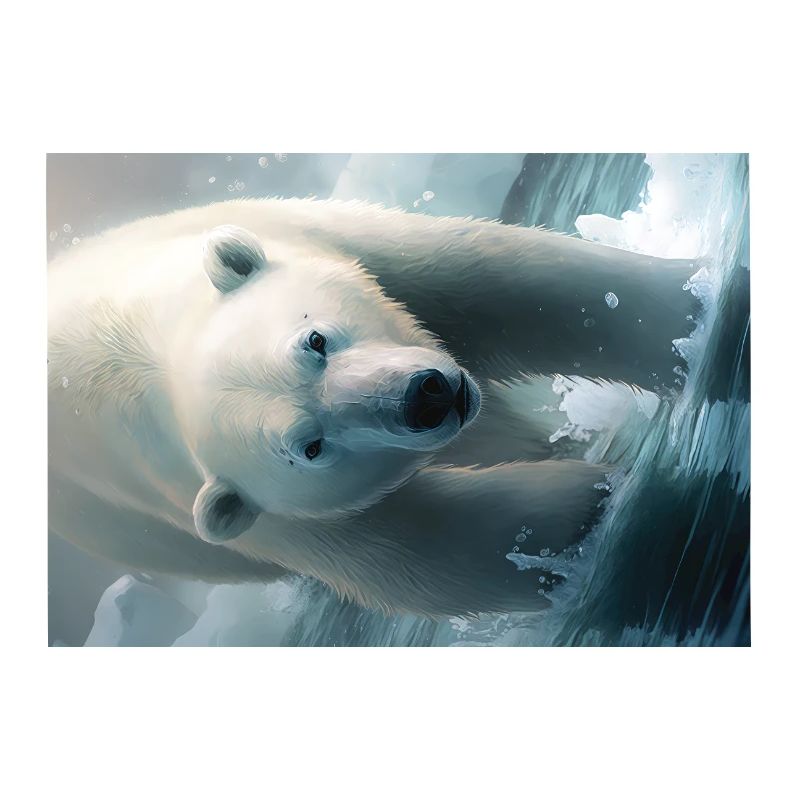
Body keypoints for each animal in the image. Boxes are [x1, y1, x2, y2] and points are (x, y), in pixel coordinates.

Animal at [48, 198, 698, 617]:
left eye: (314, 341)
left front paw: (689, 308)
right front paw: (592, 506)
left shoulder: (309, 235)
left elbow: (494, 279)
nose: (425, 397)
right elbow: (420, 548)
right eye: (311, 446)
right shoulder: (238, 509)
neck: (134, 349)